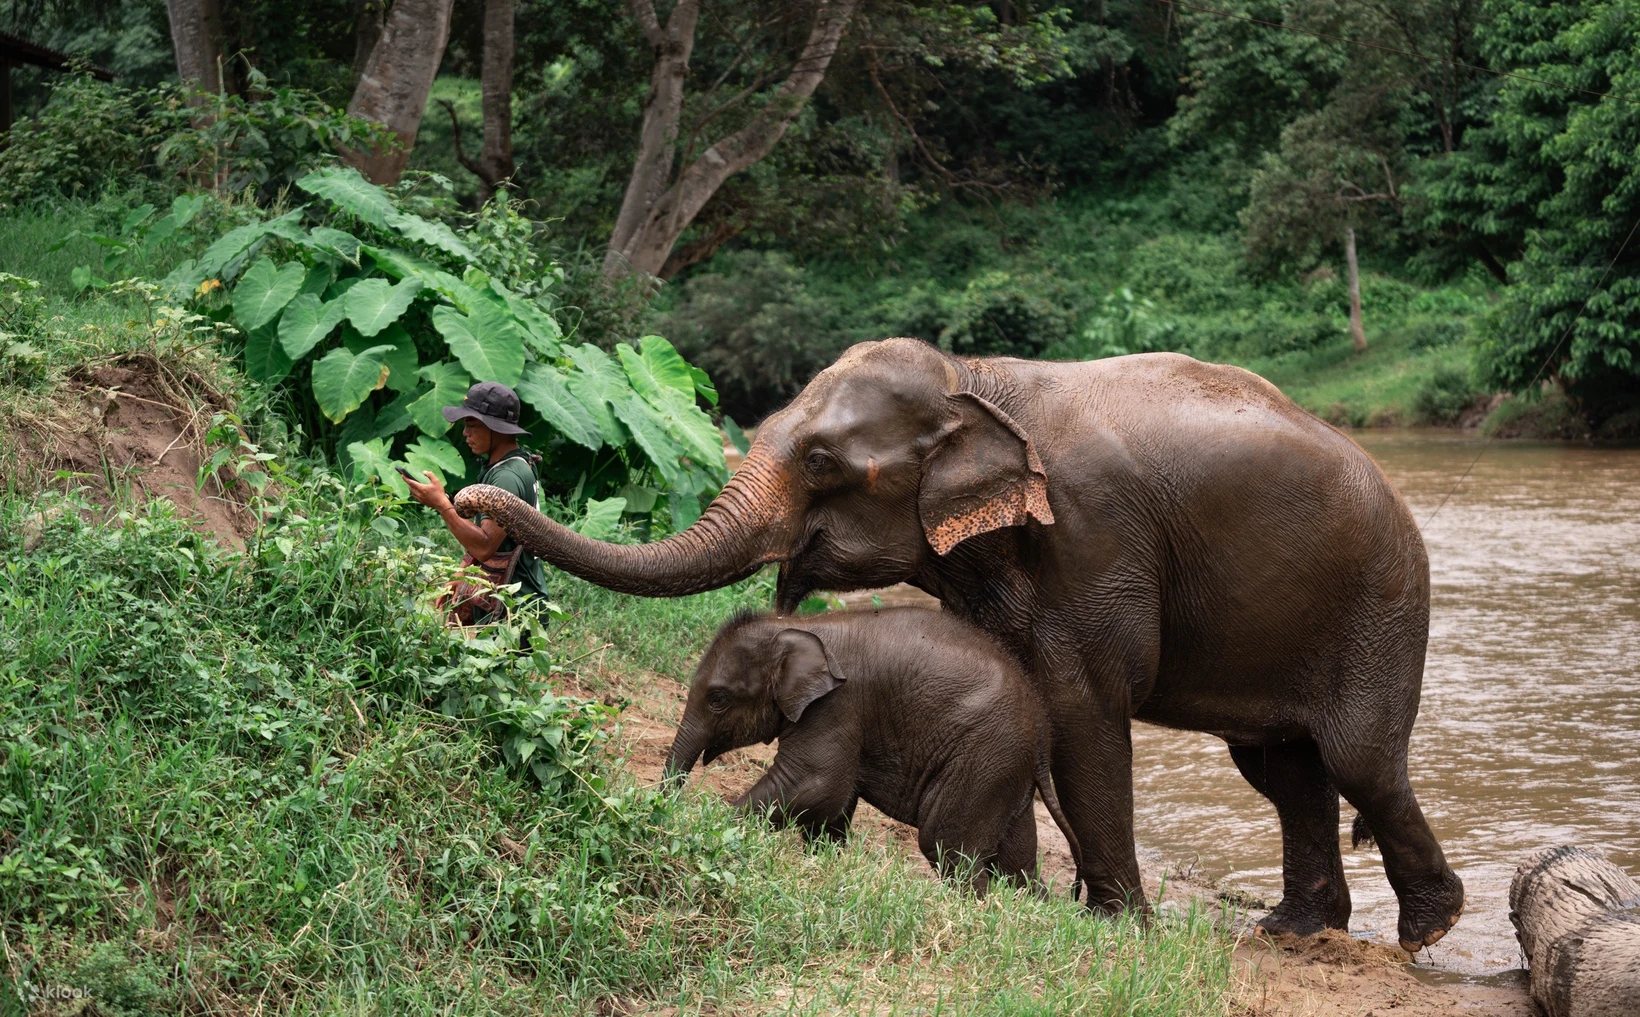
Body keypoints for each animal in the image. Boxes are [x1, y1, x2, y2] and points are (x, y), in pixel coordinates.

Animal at [663, 607, 1084, 897]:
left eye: (718, 699)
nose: (667, 808)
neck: (801, 624)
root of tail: (1042, 731)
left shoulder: (836, 706)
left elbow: (817, 783)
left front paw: (717, 822)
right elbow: (832, 805)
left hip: (984, 757)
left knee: (947, 846)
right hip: (1006, 770)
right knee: (1015, 864)